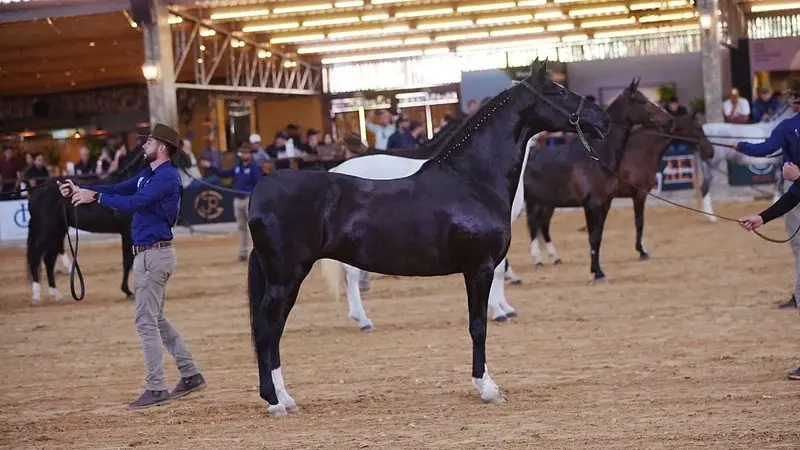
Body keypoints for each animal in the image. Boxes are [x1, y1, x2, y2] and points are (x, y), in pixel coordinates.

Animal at [521, 78, 674, 281]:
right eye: (641, 101)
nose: (669, 120)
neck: (597, 156)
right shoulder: (591, 205)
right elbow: (592, 237)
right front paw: (597, 273)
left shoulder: (605, 204)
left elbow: (598, 238)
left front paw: (598, 271)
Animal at [526, 112, 716, 267]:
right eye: (698, 128)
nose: (710, 151)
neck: (640, 152)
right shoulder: (639, 195)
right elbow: (639, 222)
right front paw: (642, 251)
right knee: (535, 225)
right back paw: (539, 259)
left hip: (548, 203)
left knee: (542, 225)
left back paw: (554, 257)